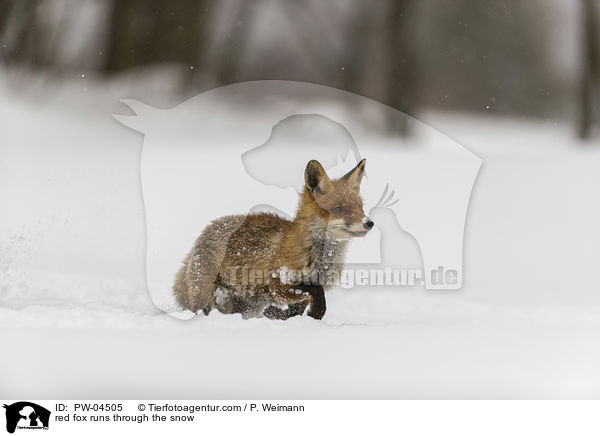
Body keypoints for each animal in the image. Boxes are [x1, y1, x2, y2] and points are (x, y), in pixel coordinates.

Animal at [171, 158, 372, 318]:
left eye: (361, 208)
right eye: (339, 208)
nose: (369, 223)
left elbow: (297, 309)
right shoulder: (278, 283)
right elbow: (316, 291)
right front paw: (315, 312)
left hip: (245, 304)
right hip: (209, 297)